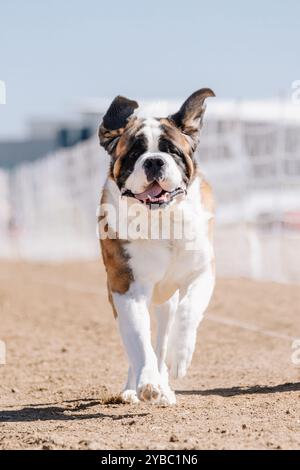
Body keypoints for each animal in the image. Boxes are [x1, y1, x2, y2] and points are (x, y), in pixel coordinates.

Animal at [98, 88, 216, 404]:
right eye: (134, 153)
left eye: (172, 151)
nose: (153, 161)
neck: (162, 219)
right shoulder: (125, 287)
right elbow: (139, 340)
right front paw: (147, 383)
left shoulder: (202, 273)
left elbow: (189, 310)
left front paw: (180, 356)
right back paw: (133, 389)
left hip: (165, 303)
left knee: (162, 338)